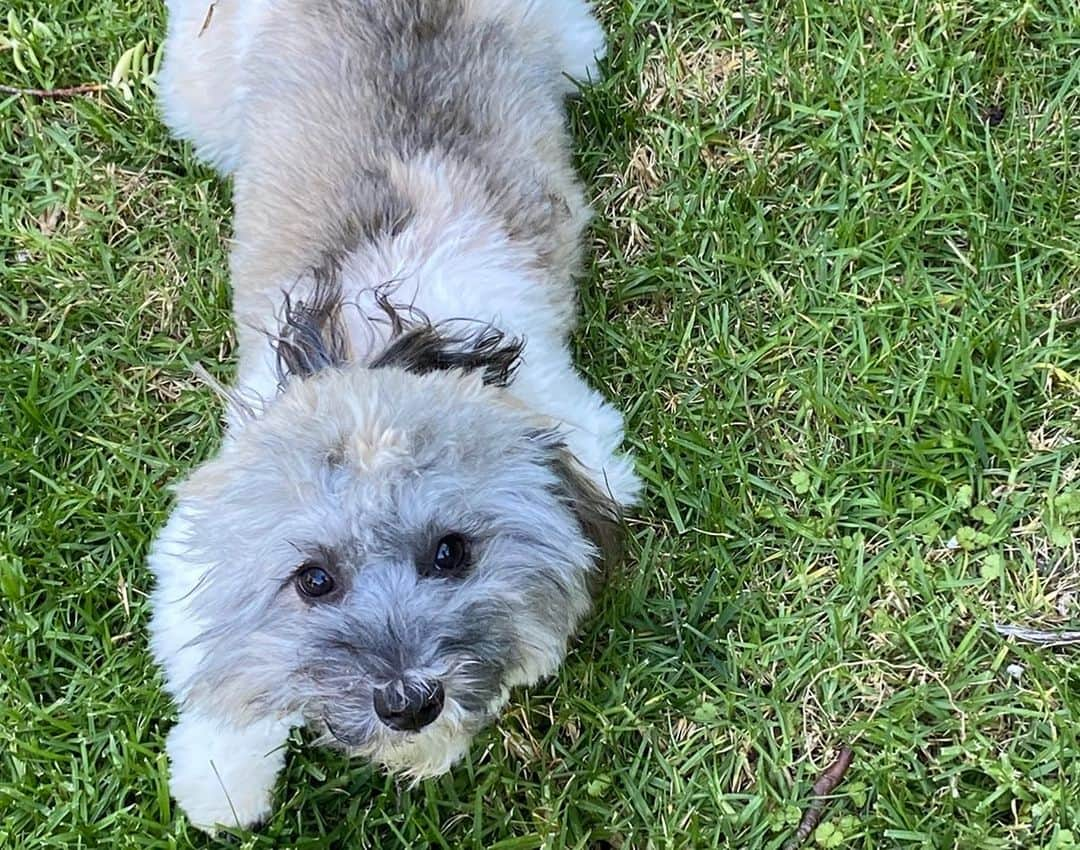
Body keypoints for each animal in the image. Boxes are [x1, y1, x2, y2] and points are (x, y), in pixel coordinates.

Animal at [147, 0, 635, 838]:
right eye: (313, 580)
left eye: (452, 553)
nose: (410, 704)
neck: (386, 345)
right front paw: (222, 775)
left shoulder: (586, 439)